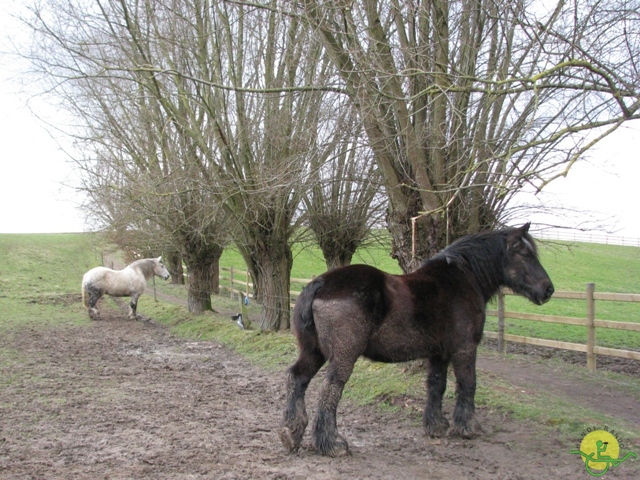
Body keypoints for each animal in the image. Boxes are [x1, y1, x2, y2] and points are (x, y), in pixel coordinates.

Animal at [280, 223, 556, 456]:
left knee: (297, 378)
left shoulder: (439, 354)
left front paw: (436, 426)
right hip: (343, 356)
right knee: (331, 389)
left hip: (314, 352)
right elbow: (467, 384)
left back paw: (291, 433)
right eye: (525, 253)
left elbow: (437, 385)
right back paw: (331, 443)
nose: (548, 289)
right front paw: (467, 427)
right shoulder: (465, 349)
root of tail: (320, 282)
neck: (463, 279)